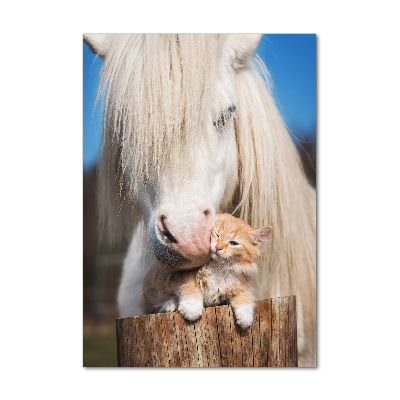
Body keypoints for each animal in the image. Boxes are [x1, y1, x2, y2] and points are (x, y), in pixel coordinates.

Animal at [141, 212, 272, 328]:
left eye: (233, 243)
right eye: (217, 235)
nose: (218, 247)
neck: (218, 267)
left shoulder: (241, 284)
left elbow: (245, 296)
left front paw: (245, 317)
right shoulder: (182, 276)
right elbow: (190, 289)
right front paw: (192, 308)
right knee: (154, 305)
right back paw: (170, 304)